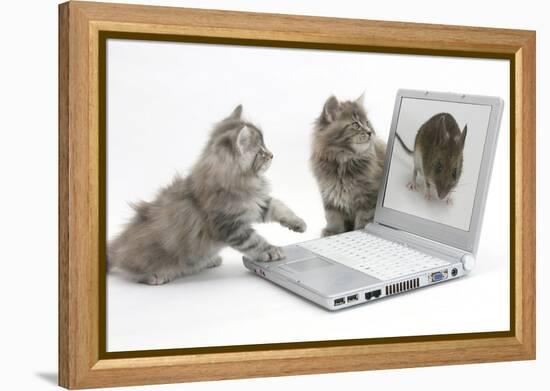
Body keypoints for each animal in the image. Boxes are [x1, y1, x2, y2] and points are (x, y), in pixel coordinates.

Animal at [108, 105, 306, 286]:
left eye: (265, 148)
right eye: (261, 152)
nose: (272, 155)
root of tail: (117, 246)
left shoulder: (256, 205)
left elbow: (279, 206)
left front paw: (298, 223)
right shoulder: (230, 225)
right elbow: (254, 241)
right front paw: (271, 250)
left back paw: (210, 261)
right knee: (130, 272)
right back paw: (156, 276)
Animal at [310, 95, 388, 236]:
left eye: (367, 123)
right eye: (356, 124)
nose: (370, 132)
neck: (344, 160)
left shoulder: (368, 198)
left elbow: (363, 219)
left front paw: (359, 230)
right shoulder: (329, 194)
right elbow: (333, 217)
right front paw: (332, 232)